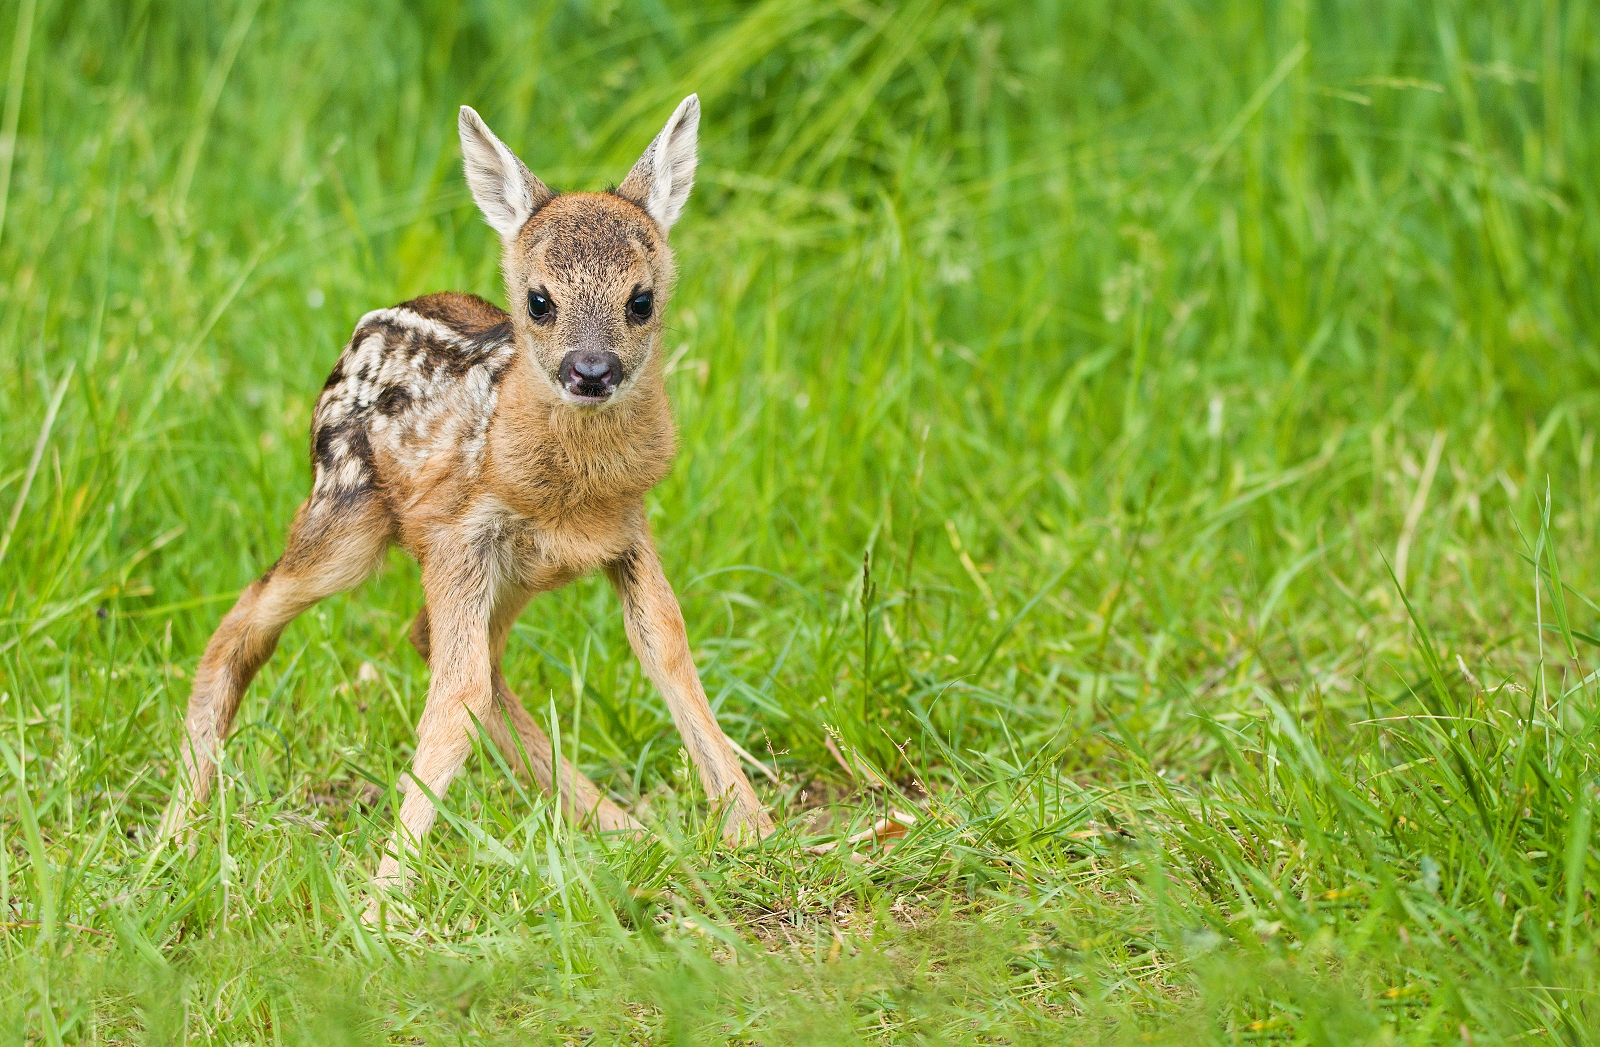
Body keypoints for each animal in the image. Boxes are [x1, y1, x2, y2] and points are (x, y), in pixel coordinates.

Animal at [157, 95, 772, 917]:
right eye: (540, 301)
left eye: (641, 300)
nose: (590, 370)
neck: (568, 493)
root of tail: (359, 331)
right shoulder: (458, 540)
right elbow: (456, 698)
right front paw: (382, 903)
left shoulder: (628, 534)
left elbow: (668, 650)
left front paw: (755, 830)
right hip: (349, 519)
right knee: (249, 616)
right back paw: (175, 833)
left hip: (511, 577)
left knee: (444, 645)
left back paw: (621, 828)